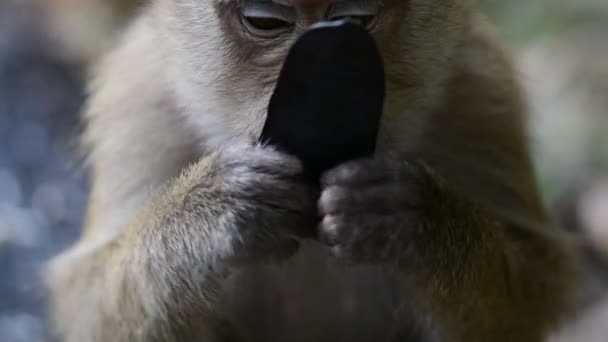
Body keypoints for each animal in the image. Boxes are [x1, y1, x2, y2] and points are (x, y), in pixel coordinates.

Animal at [44, 0, 580, 342]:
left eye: (356, 19)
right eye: (265, 21)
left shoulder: (484, 91)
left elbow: (535, 288)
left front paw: (412, 223)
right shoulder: (139, 99)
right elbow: (87, 306)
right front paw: (217, 214)